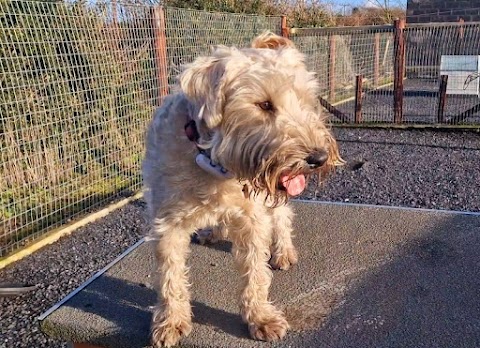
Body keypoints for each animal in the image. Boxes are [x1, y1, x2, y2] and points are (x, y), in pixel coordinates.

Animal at [142, 31, 342, 346]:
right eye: (264, 104)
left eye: (305, 101)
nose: (319, 158)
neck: (213, 163)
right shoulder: (166, 222)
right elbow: (169, 275)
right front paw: (170, 321)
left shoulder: (253, 218)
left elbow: (255, 272)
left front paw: (260, 317)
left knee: (282, 216)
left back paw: (283, 250)